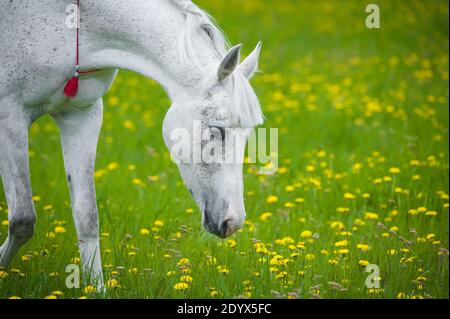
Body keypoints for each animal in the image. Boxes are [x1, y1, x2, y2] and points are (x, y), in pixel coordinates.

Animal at [0, 0, 262, 288]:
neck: (76, 24)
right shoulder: (10, 115)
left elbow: (87, 215)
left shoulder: (81, 115)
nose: (233, 222)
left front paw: (96, 288)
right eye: (218, 130)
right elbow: (23, 219)